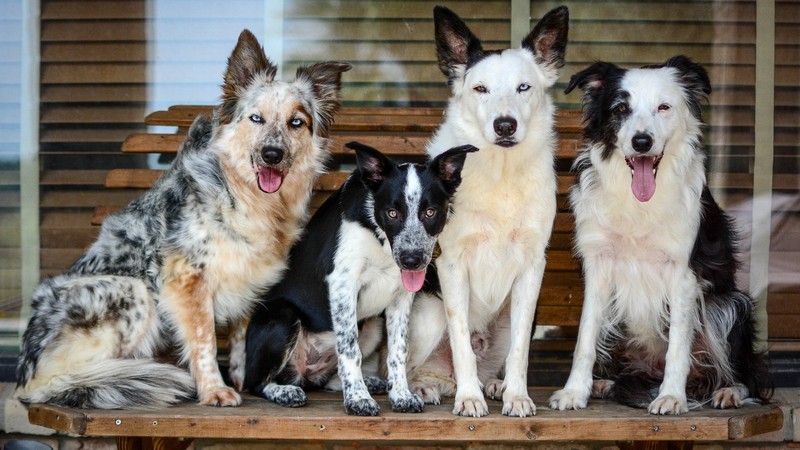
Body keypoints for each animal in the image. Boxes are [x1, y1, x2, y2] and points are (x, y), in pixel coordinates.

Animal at [244, 140, 476, 414]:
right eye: (392, 213)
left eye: (430, 212)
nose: (412, 260)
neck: (380, 239)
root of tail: (304, 372)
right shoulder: (343, 284)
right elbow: (349, 349)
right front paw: (358, 399)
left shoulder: (401, 297)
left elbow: (398, 350)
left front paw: (401, 395)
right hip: (282, 316)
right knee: (256, 382)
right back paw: (285, 392)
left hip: (373, 325)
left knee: (327, 379)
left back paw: (370, 382)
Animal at [406, 5, 568, 416]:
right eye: (480, 89)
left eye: (523, 87)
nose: (505, 124)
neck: (501, 175)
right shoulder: (450, 265)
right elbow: (461, 339)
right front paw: (468, 399)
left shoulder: (532, 269)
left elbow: (521, 351)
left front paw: (517, 396)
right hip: (428, 315)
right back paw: (427, 388)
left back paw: (494, 385)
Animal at [548, 57, 772, 414]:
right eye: (621, 108)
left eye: (663, 107)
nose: (642, 142)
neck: (638, 204)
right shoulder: (599, 267)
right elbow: (585, 337)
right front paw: (575, 391)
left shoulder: (684, 275)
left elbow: (677, 345)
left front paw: (671, 396)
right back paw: (605, 383)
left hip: (731, 304)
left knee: (746, 372)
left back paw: (729, 391)